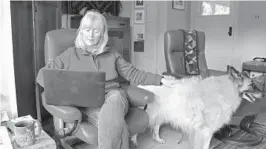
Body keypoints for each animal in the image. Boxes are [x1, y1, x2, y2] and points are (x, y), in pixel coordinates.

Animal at [130, 66, 262, 149]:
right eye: (252, 84)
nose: (263, 94)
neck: (224, 90)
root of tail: (141, 87)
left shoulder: (208, 131)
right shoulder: (203, 131)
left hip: (161, 115)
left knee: (156, 128)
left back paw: (158, 139)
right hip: (149, 115)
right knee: (138, 129)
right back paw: (134, 141)